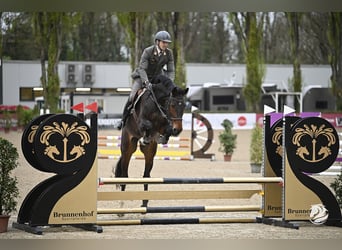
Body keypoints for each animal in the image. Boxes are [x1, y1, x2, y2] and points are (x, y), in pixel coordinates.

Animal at [114, 74, 190, 207]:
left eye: (184, 106)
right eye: (172, 105)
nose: (178, 130)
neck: (158, 103)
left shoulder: (164, 125)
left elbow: (166, 129)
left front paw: (162, 138)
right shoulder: (141, 122)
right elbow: (148, 125)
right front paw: (146, 136)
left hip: (150, 153)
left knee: (146, 175)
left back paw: (144, 203)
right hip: (128, 147)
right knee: (124, 174)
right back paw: (122, 205)